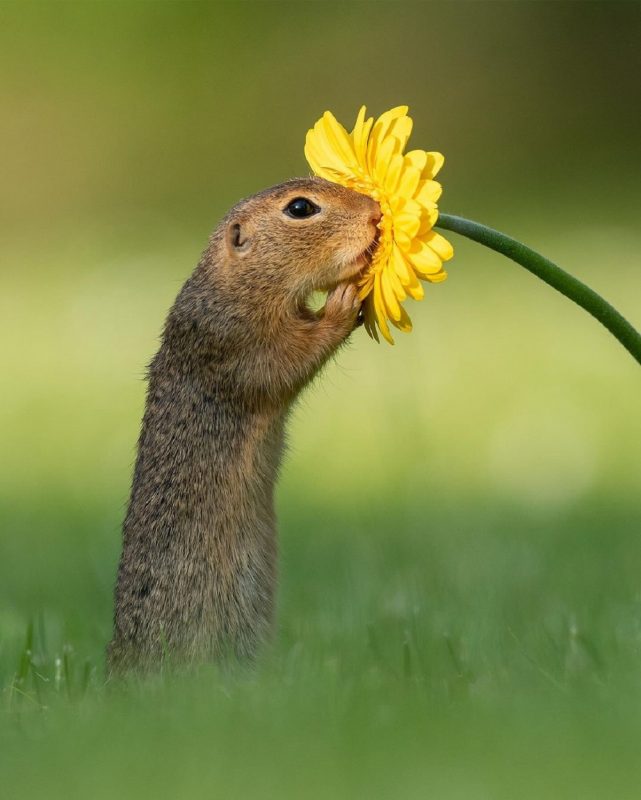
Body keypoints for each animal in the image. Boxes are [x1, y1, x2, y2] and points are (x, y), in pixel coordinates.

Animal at [109, 180, 380, 668]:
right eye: (300, 208)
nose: (375, 213)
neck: (235, 283)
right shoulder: (240, 341)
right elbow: (292, 357)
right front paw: (344, 301)